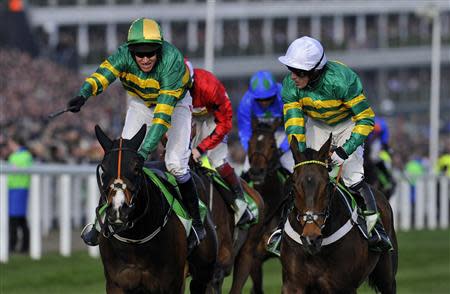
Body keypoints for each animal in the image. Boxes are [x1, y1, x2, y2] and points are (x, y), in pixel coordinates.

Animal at [94, 124, 217, 294]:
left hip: (203, 270)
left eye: (136, 168)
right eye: (104, 170)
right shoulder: (116, 284)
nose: (118, 210)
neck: (135, 240)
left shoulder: (170, 284)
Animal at [282, 137, 398, 294]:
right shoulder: (293, 285)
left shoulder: (344, 286)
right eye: (294, 185)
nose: (311, 238)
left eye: (326, 184)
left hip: (387, 277)